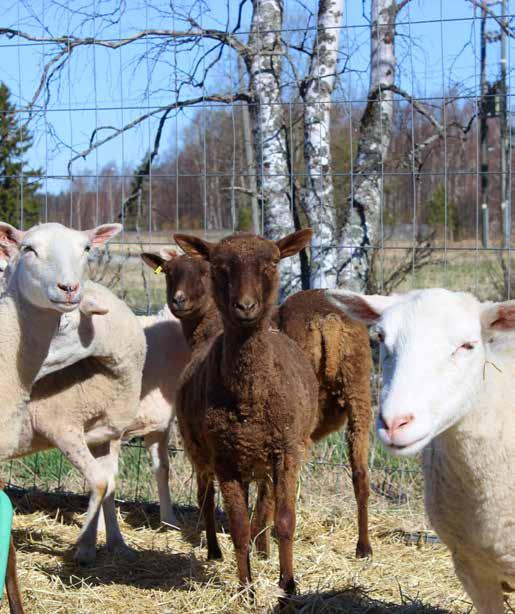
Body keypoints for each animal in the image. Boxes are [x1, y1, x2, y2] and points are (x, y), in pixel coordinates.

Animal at [173, 230, 318, 596]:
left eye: (272, 262)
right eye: (219, 267)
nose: (246, 307)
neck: (250, 398)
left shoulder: (286, 452)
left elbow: (284, 521)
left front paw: (288, 584)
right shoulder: (224, 458)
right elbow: (237, 527)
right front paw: (245, 589)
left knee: (262, 503)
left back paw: (261, 548)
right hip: (201, 453)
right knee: (205, 499)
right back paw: (214, 550)